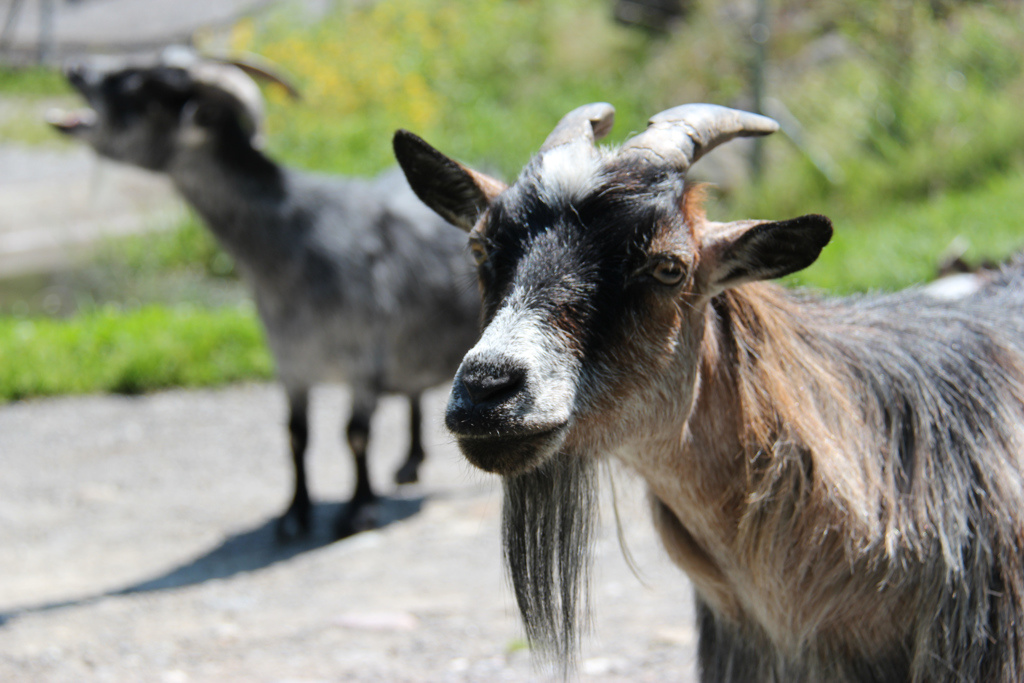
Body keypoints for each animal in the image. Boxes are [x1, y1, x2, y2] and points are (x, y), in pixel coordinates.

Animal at [51, 49, 483, 540]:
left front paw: (358, 510)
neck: (297, 243)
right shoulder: (291, 364)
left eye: (142, 86)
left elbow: (355, 434)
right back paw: (409, 463)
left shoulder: (362, 361)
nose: (75, 68)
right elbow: (296, 436)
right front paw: (294, 515)